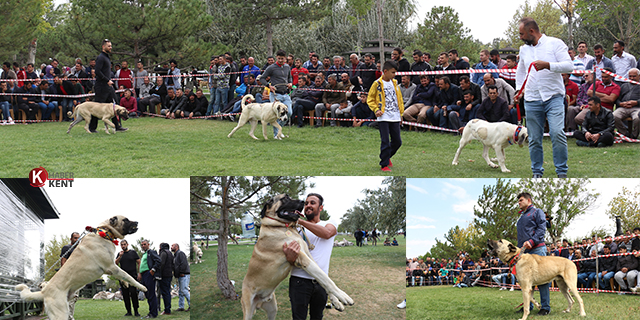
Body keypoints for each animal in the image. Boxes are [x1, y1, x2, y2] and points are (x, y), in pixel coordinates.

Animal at [16, 215, 148, 320]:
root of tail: (44, 291)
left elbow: (124, 276)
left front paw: (125, 284)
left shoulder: (112, 267)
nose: (137, 222)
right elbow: (128, 275)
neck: (104, 233)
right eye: (125, 220)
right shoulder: (112, 266)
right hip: (60, 313)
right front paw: (142, 286)